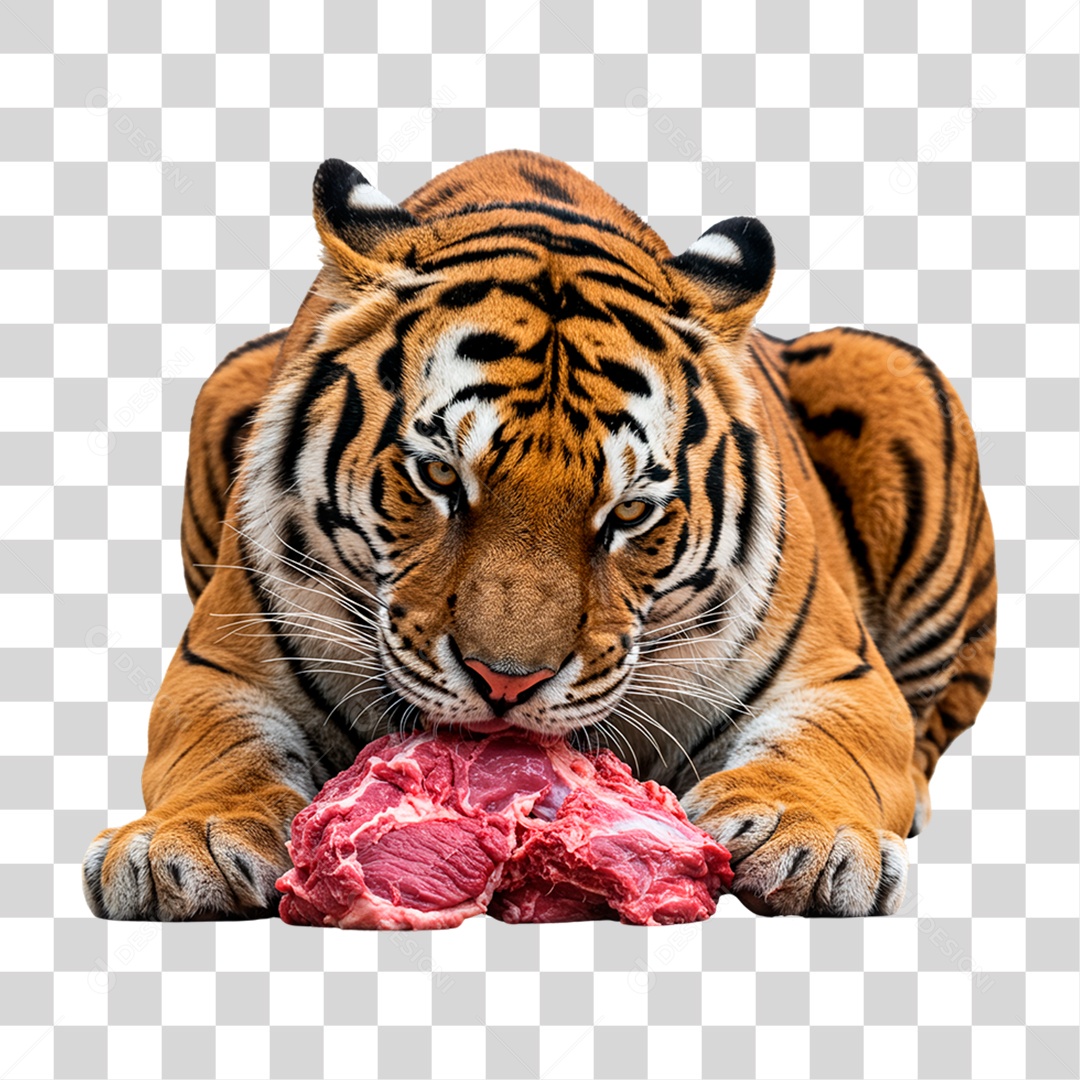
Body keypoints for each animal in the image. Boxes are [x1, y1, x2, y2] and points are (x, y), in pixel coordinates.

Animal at [82, 149, 996, 920]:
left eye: (627, 513)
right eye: (440, 477)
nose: (506, 682)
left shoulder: (841, 671)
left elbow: (826, 747)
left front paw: (806, 836)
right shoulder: (221, 662)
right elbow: (223, 750)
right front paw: (186, 843)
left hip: (895, 378)